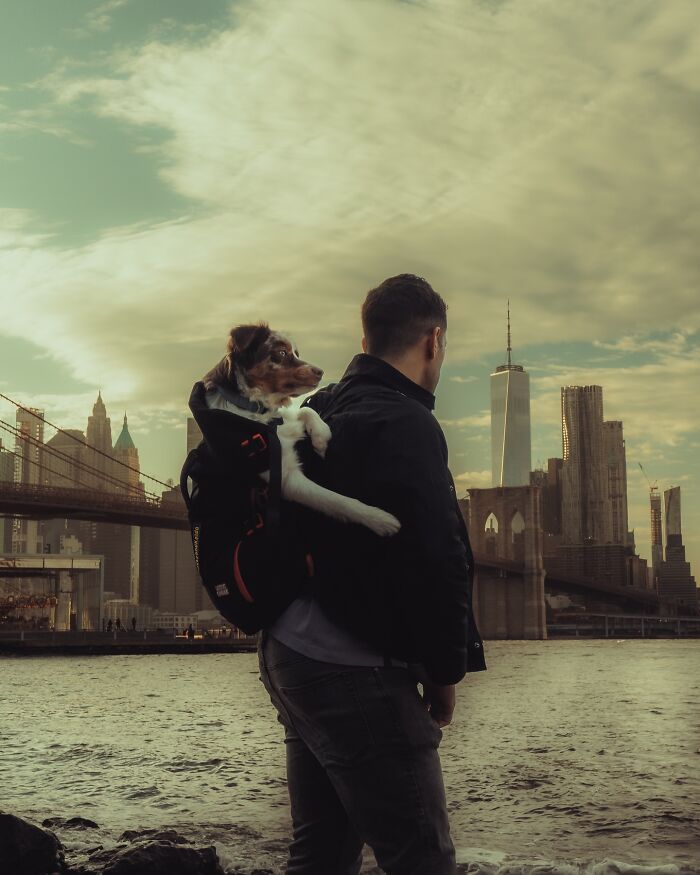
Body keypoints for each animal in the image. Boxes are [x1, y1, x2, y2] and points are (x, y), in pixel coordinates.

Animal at [201, 324, 400, 536]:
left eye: (297, 353)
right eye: (281, 352)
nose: (321, 371)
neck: (257, 409)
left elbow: (306, 409)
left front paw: (321, 437)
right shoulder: (285, 478)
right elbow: (335, 500)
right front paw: (378, 518)